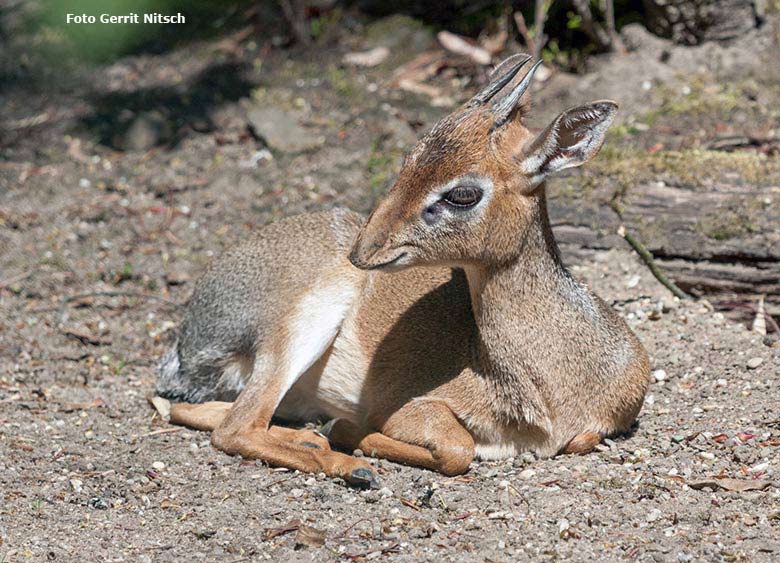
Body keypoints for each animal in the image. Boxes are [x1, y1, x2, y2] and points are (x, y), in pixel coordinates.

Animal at [157, 55, 644, 492]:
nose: (364, 250)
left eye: (463, 193)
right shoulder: (409, 405)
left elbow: (580, 438)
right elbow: (458, 449)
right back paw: (348, 462)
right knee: (234, 425)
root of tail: (187, 339)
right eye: (409, 159)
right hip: (301, 325)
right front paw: (349, 433)